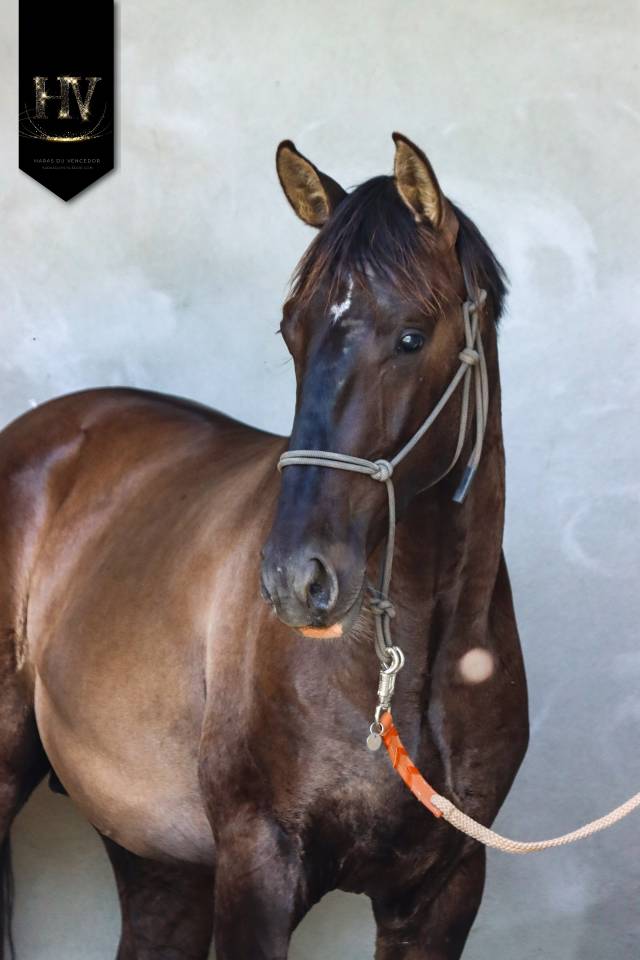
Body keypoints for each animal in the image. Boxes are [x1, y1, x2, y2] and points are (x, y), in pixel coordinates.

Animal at [0, 132, 528, 959]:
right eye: (291, 332)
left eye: (412, 336)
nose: (293, 579)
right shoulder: (258, 865)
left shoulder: (444, 890)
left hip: (159, 861)